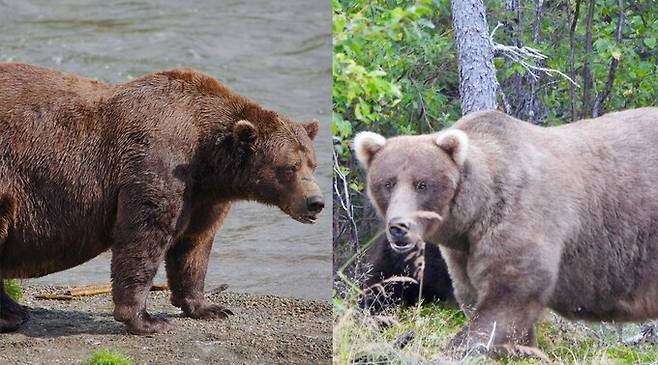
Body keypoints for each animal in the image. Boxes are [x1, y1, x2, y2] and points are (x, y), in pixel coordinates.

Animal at [1, 62, 324, 332]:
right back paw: (10, 316)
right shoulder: (156, 163)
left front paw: (208, 307)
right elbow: (144, 236)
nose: (316, 202)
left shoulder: (203, 197)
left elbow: (193, 246)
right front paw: (145, 319)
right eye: (289, 167)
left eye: (312, 163)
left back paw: (15, 311)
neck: (207, 158)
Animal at [354, 107, 658, 356]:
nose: (399, 227)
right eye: (388, 183)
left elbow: (507, 299)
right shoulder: (462, 253)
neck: (474, 213)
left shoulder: (520, 218)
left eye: (422, 184)